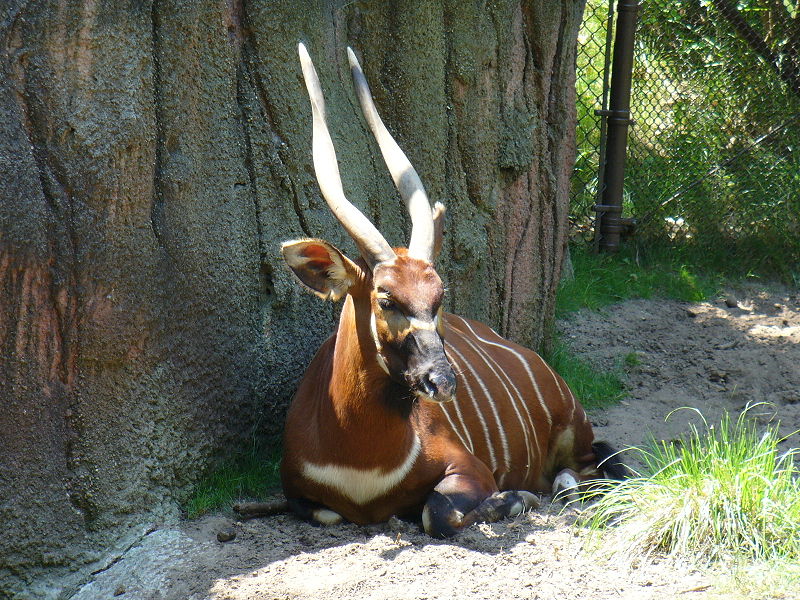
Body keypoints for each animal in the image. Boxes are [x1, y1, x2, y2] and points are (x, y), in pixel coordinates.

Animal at [278, 44, 628, 536]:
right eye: (385, 297)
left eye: (440, 297)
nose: (441, 382)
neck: (362, 462)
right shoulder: (296, 494)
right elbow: (327, 512)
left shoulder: (468, 468)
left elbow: (437, 513)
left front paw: (514, 500)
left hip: (575, 431)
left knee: (593, 467)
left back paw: (558, 489)